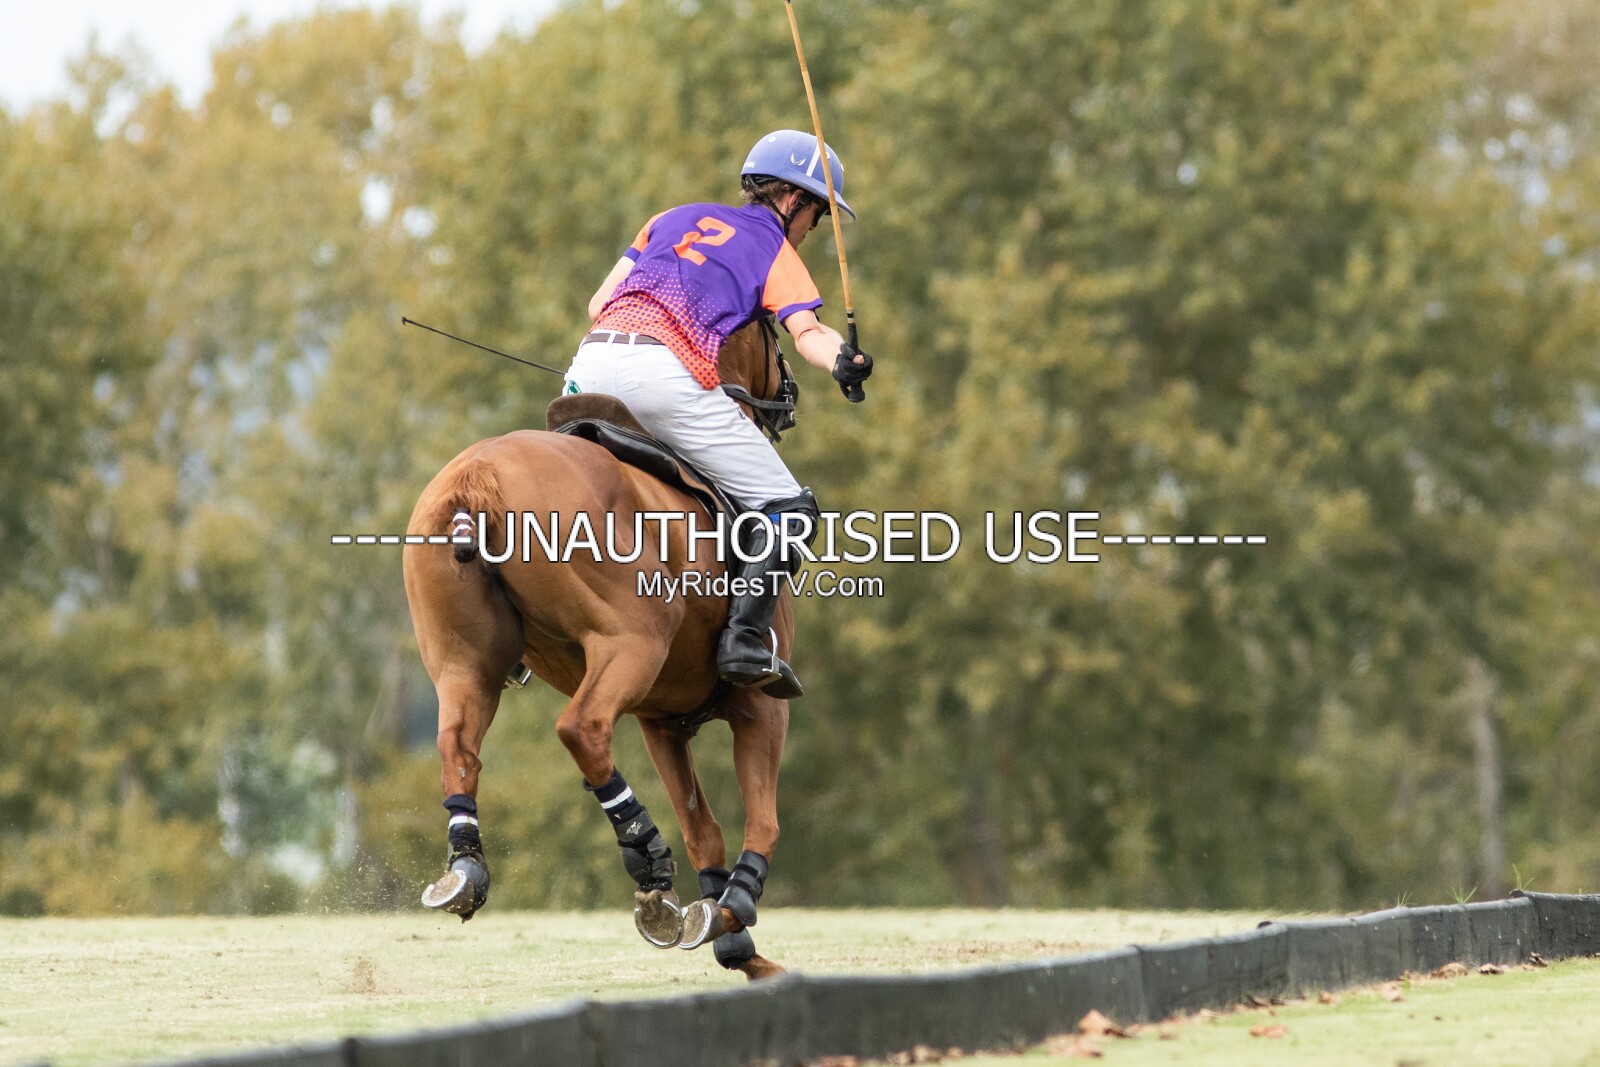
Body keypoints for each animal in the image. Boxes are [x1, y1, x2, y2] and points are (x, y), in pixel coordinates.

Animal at [401, 320, 801, 980]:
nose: (787, 396)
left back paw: (467, 869)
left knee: (457, 744)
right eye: (773, 339)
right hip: (633, 640)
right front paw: (733, 912)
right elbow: (761, 820)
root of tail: (475, 478)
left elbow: (704, 828)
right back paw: (646, 853)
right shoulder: (760, 705)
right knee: (580, 728)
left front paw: (731, 942)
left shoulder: (661, 721)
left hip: (465, 663)